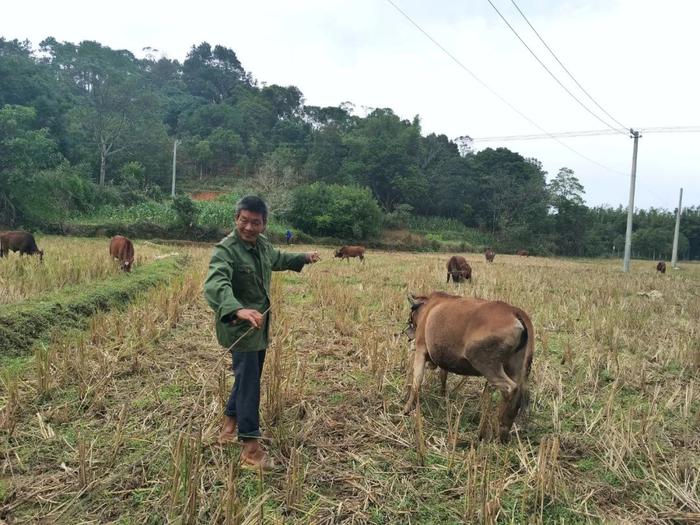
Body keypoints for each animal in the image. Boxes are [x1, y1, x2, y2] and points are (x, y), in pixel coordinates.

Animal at [404, 290, 536, 442]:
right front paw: (442, 395)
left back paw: (499, 428)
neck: (430, 306)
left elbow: (417, 381)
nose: (407, 332)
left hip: (486, 363)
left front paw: (407, 408)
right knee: (520, 391)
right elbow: (443, 376)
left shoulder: (420, 349)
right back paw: (505, 429)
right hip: (515, 367)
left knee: (511, 389)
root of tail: (514, 311)